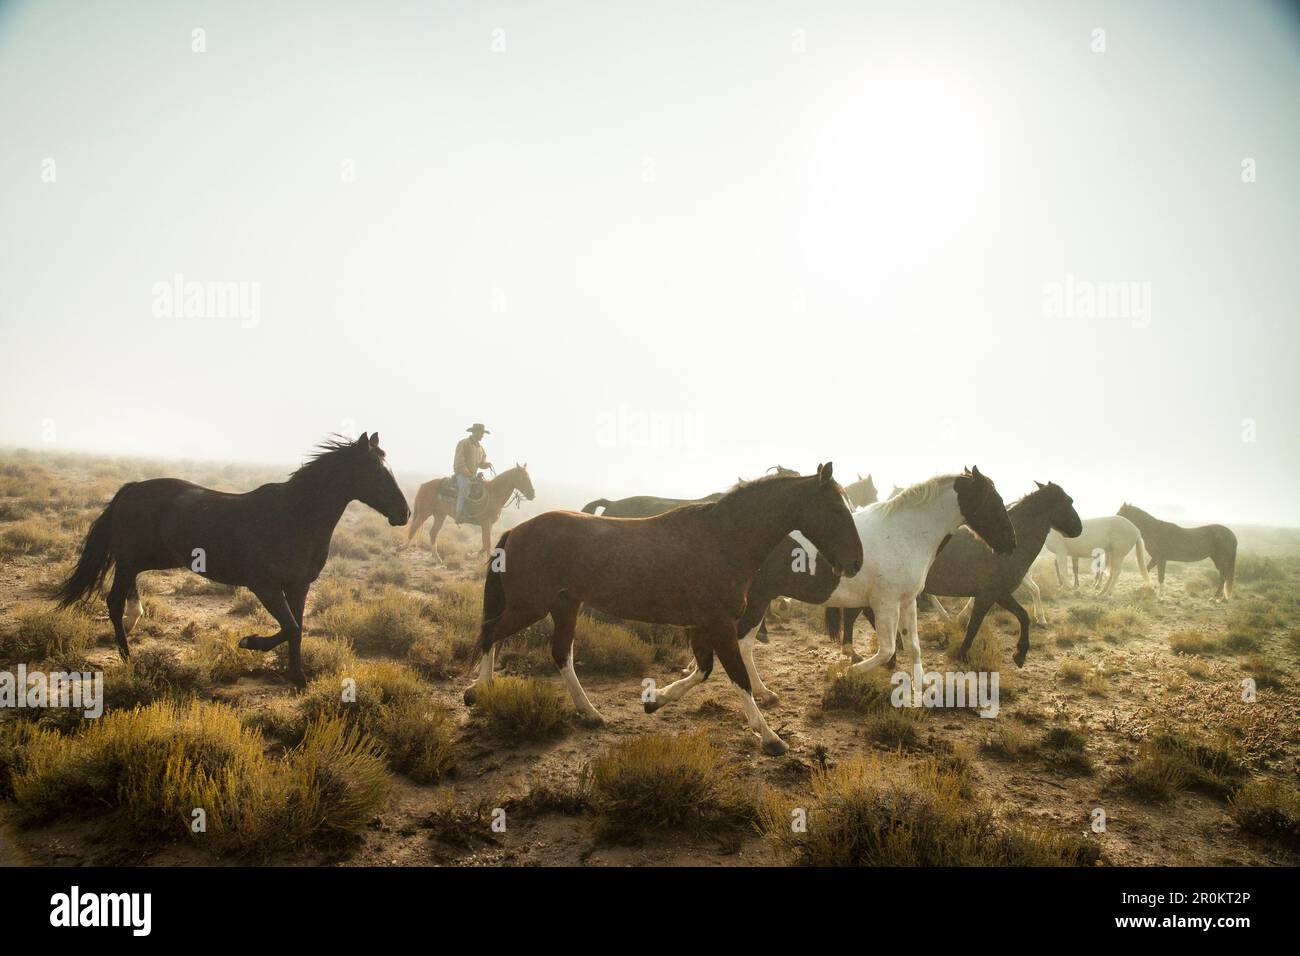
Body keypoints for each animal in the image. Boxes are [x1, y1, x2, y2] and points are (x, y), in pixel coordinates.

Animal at [55, 434, 408, 686]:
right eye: (377, 473)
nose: (403, 513)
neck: (295, 516)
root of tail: (131, 489)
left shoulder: (299, 586)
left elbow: (297, 629)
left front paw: (298, 678)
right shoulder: (264, 586)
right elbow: (290, 627)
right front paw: (250, 642)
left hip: (147, 559)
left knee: (127, 593)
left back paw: (134, 621)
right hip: (130, 560)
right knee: (113, 600)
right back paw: (128, 656)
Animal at [400, 465, 533, 564]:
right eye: (523, 478)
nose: (532, 494)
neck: (494, 494)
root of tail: (423, 485)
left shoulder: (488, 525)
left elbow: (485, 544)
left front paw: (472, 555)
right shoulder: (486, 523)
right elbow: (487, 544)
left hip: (440, 515)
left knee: (433, 533)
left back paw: (437, 558)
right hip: (424, 512)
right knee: (414, 527)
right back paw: (402, 547)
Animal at [467, 463, 863, 754]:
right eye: (834, 508)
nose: (856, 562)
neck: (723, 540)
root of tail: (516, 531)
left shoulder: (703, 625)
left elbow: (703, 670)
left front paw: (654, 700)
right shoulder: (719, 624)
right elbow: (736, 675)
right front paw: (770, 737)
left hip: (565, 605)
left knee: (560, 653)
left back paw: (590, 713)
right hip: (529, 605)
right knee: (490, 633)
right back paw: (479, 691)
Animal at [733, 468, 1013, 707]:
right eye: (992, 500)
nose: (1011, 542)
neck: (906, 533)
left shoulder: (907, 601)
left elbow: (913, 646)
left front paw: (921, 688)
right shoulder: (885, 604)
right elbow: (887, 649)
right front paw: (848, 672)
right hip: (757, 601)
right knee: (744, 646)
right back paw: (763, 692)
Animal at [826, 481, 1081, 671]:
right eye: (1069, 501)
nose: (1078, 529)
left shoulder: (998, 594)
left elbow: (1022, 616)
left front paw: (1020, 654)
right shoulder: (990, 594)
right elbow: (976, 626)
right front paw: (965, 654)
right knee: (854, 615)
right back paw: (864, 654)